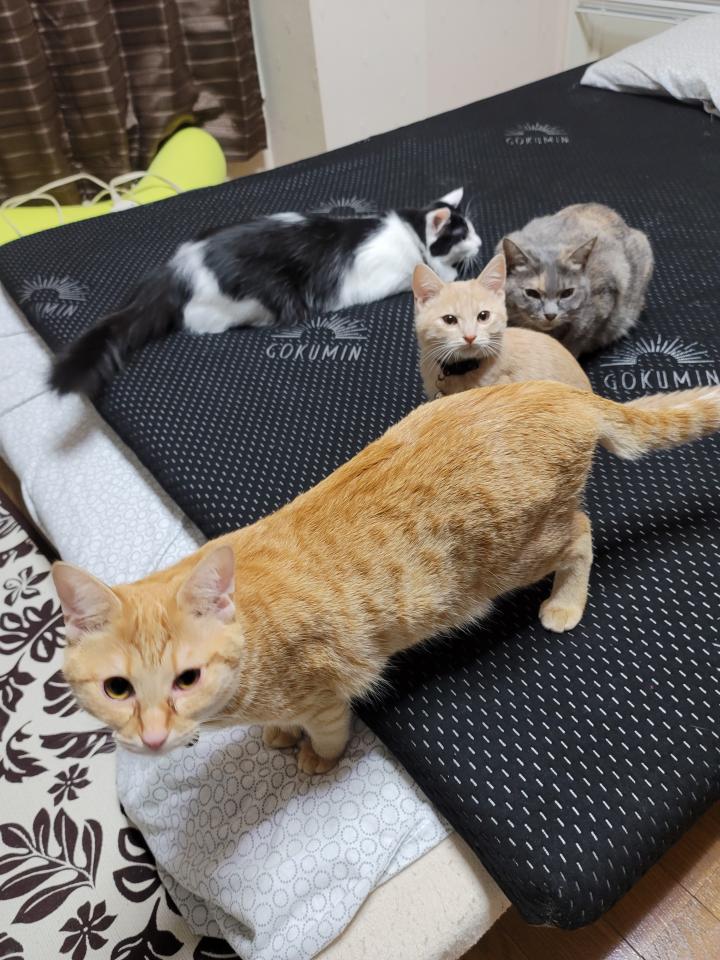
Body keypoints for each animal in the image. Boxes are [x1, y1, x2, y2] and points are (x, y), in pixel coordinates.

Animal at [50, 188, 481, 396]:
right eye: (462, 234)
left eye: (472, 229)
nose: (479, 242)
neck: (409, 229)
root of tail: (177, 267)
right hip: (246, 302)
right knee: (198, 322)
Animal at [54, 380, 720, 774]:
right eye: (118, 689)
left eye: (186, 679)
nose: (153, 738)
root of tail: (559, 391)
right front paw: (276, 734)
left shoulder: (325, 692)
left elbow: (326, 731)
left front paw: (314, 757)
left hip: (522, 550)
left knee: (582, 534)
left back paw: (565, 604)